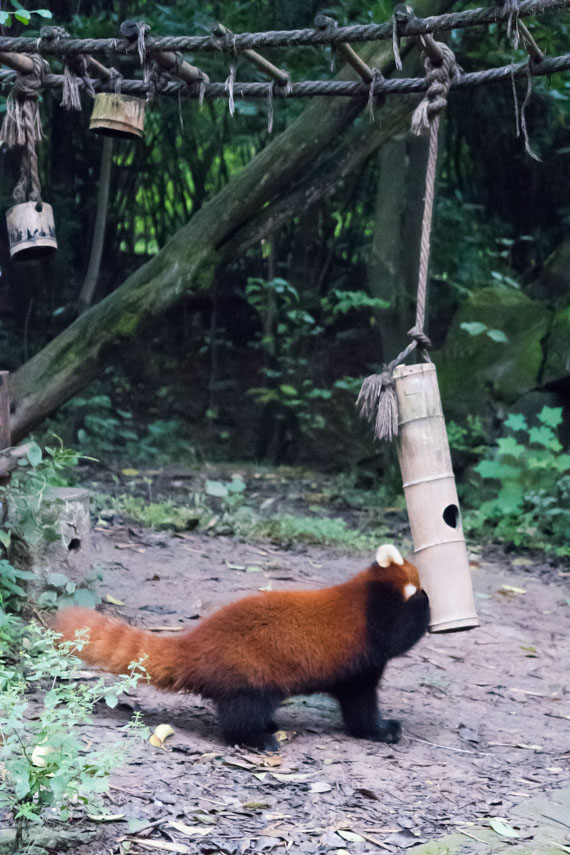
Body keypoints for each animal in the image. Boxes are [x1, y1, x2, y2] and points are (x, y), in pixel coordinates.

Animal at [54, 544, 426, 752]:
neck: (366, 590)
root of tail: (197, 643)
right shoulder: (370, 635)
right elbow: (366, 696)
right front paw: (383, 730)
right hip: (251, 671)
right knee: (243, 712)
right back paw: (257, 739)